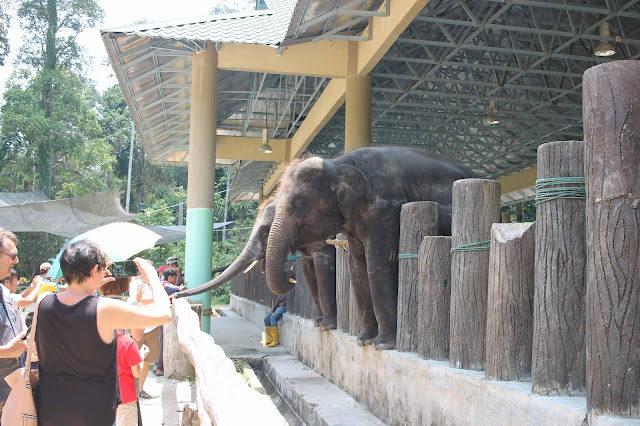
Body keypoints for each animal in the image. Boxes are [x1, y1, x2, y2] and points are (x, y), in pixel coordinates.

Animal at [172, 198, 338, 332]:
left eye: (265, 233)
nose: (175, 295)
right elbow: (307, 270)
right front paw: (318, 323)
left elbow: (323, 263)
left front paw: (327, 326)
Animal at [262, 146, 478, 350]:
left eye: (299, 203)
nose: (289, 276)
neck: (338, 163)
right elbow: (357, 267)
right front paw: (362, 341)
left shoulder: (383, 210)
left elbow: (377, 263)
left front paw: (382, 345)